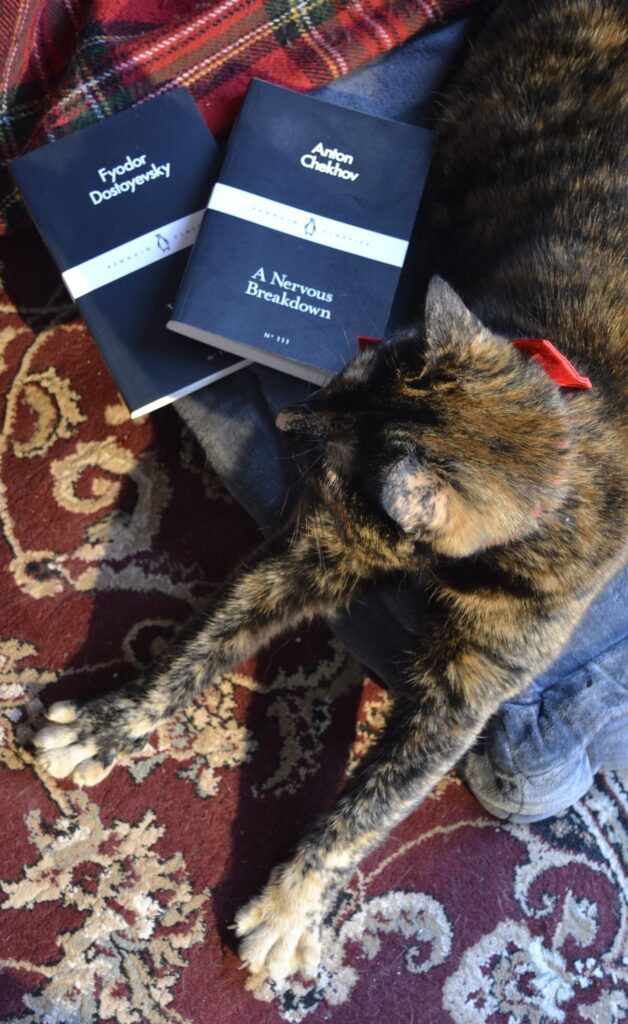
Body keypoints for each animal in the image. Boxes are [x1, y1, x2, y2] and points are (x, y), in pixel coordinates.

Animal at [30, 0, 626, 987]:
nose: (289, 417)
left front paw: (287, 907)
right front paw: (109, 725)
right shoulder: (309, 553)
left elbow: (373, 804)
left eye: (333, 458)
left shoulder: (464, 693)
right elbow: (197, 647)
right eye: (344, 371)